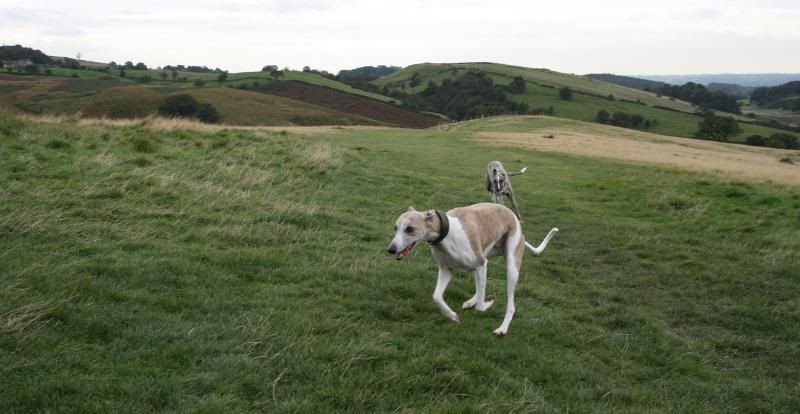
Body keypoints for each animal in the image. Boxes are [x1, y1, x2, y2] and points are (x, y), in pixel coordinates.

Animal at [388, 203, 556, 336]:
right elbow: (436, 296)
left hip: (511, 265)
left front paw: (488, 302)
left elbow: (481, 308)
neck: (446, 234)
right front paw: (452, 315)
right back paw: (471, 301)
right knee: (479, 285)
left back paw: (502, 328)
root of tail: (512, 215)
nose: (391, 249)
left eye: (410, 229)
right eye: (395, 228)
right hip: (485, 257)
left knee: (510, 305)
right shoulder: (446, 270)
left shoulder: (481, 263)